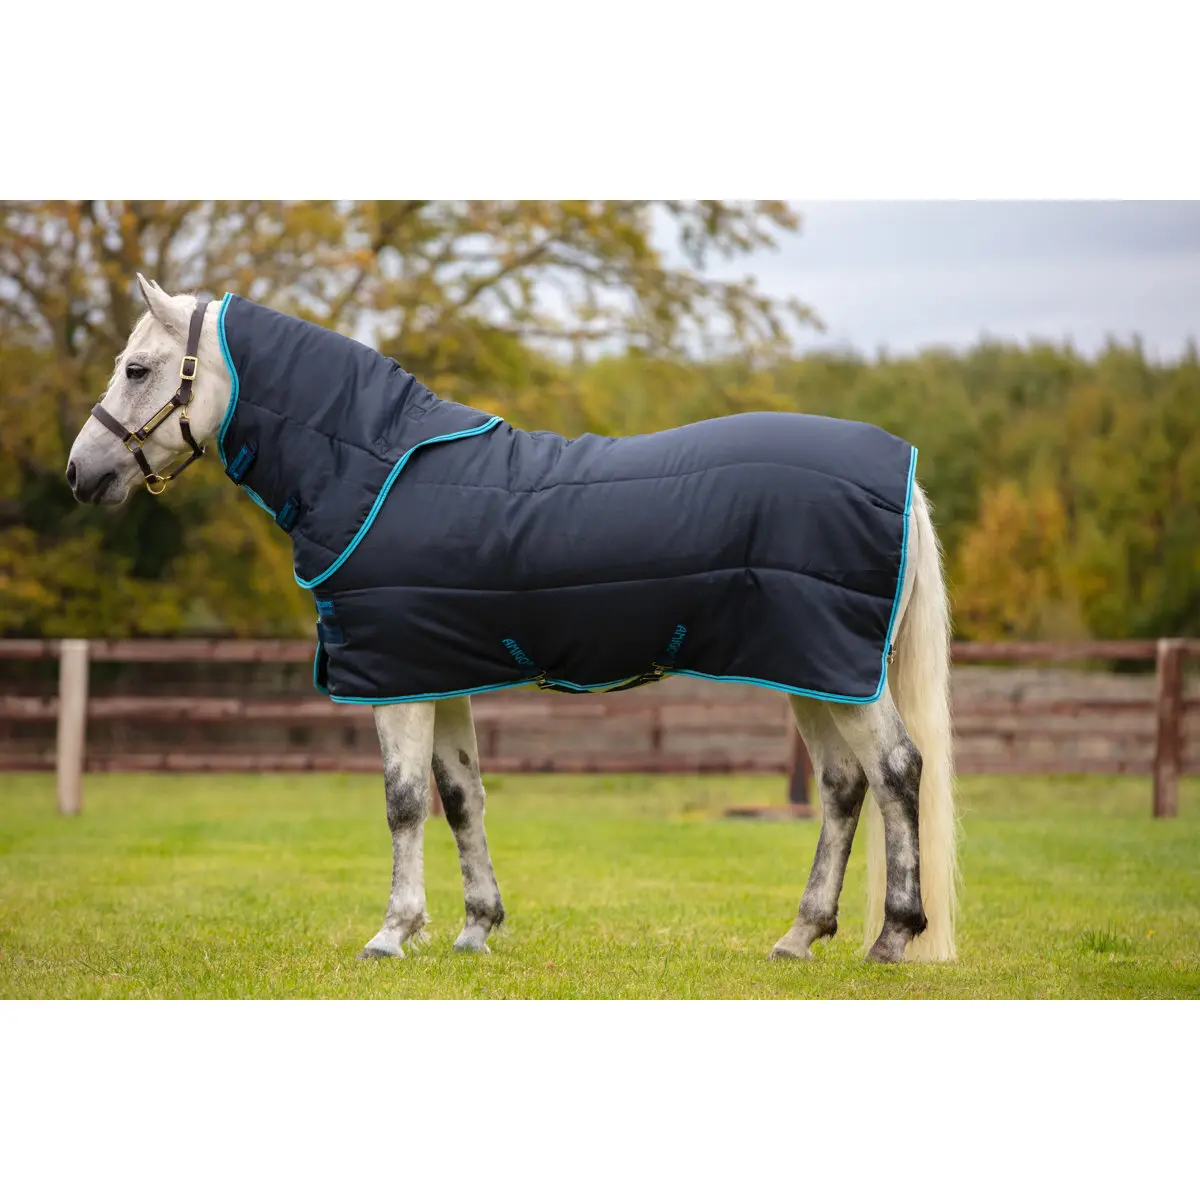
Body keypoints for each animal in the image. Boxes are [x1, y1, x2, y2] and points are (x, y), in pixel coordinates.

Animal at [65, 273, 958, 965]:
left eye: (137, 368)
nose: (81, 472)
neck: (372, 468)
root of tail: (905, 473)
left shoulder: (396, 681)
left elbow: (403, 802)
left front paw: (393, 933)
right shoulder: (437, 672)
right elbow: (462, 797)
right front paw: (475, 929)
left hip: (835, 670)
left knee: (895, 771)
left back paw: (893, 937)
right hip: (812, 671)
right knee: (843, 785)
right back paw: (799, 937)